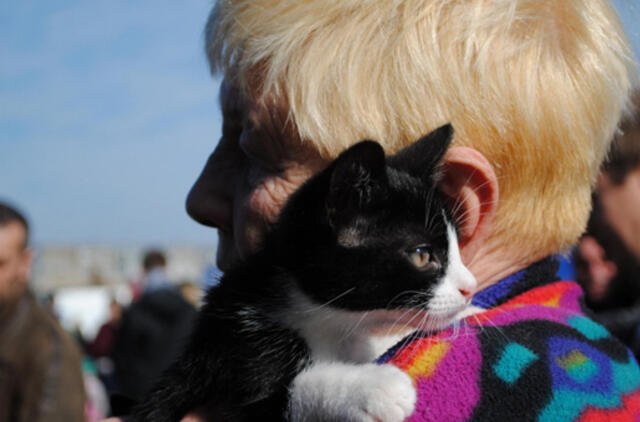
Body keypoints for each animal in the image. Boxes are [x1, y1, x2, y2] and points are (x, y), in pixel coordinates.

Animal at [132, 123, 478, 422]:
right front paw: (374, 386)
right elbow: (284, 395)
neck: (329, 319)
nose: (470, 287)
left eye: (456, 245)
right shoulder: (237, 351)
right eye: (422, 255)